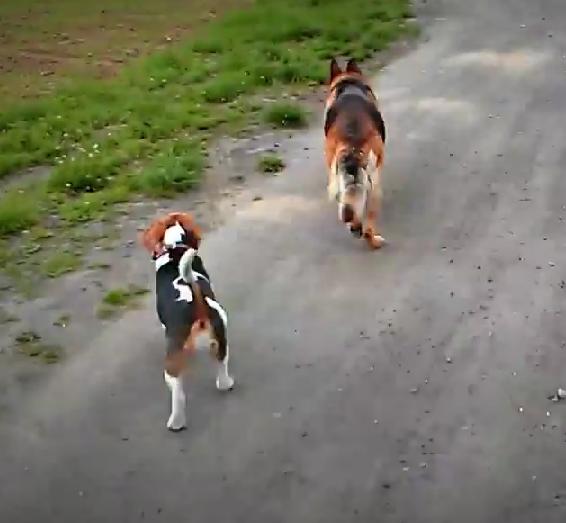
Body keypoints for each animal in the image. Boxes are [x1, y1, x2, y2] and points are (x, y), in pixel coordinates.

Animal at [142, 211, 235, 432]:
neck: (176, 246)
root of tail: (195, 301)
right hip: (221, 335)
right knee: (222, 367)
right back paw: (226, 383)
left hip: (171, 364)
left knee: (178, 394)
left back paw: (176, 422)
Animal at [326, 57, 388, 250]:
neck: (348, 83)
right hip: (374, 185)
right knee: (367, 222)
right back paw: (374, 240)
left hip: (339, 181)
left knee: (348, 210)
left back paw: (354, 228)